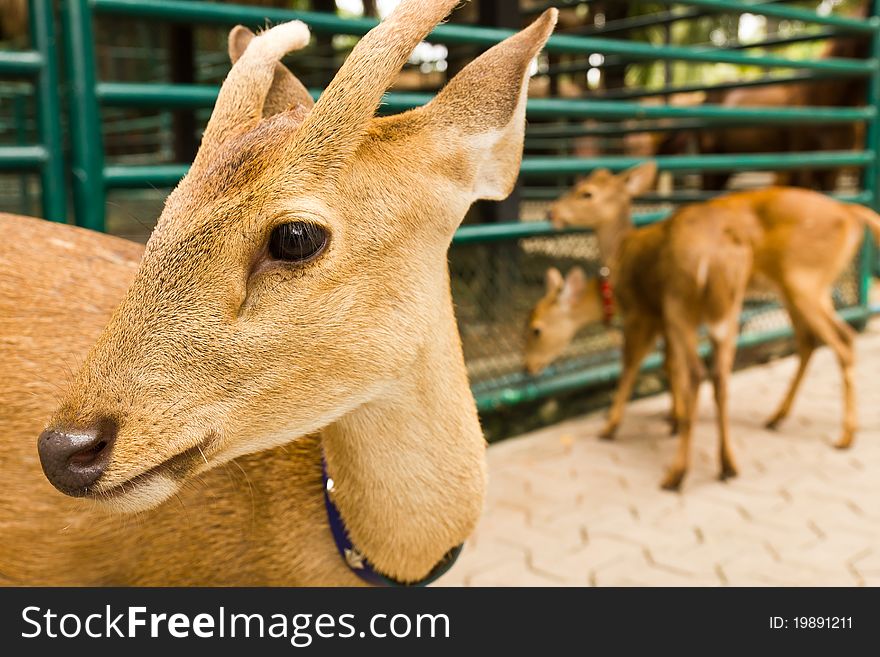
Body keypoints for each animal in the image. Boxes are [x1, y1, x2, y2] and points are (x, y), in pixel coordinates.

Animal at [536, 165, 880, 486]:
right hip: (784, 293)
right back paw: (760, 432)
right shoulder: (665, 319)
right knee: (797, 345)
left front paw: (614, 426)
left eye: (586, 192)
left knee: (838, 341)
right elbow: (669, 364)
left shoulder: (645, 311)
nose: (551, 211)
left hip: (795, 281)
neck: (621, 250)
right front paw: (673, 417)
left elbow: (636, 364)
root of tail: (851, 214)